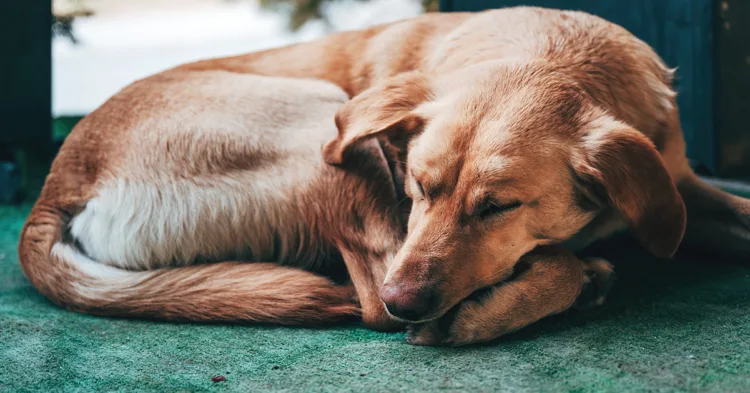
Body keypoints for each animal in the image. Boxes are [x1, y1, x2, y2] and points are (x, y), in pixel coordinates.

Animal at [19, 6, 750, 346]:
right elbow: (560, 259)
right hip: (322, 129)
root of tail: (56, 187)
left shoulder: (679, 190)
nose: (410, 303)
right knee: (369, 296)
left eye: (497, 206)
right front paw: (503, 306)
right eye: (417, 188)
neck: (552, 50)